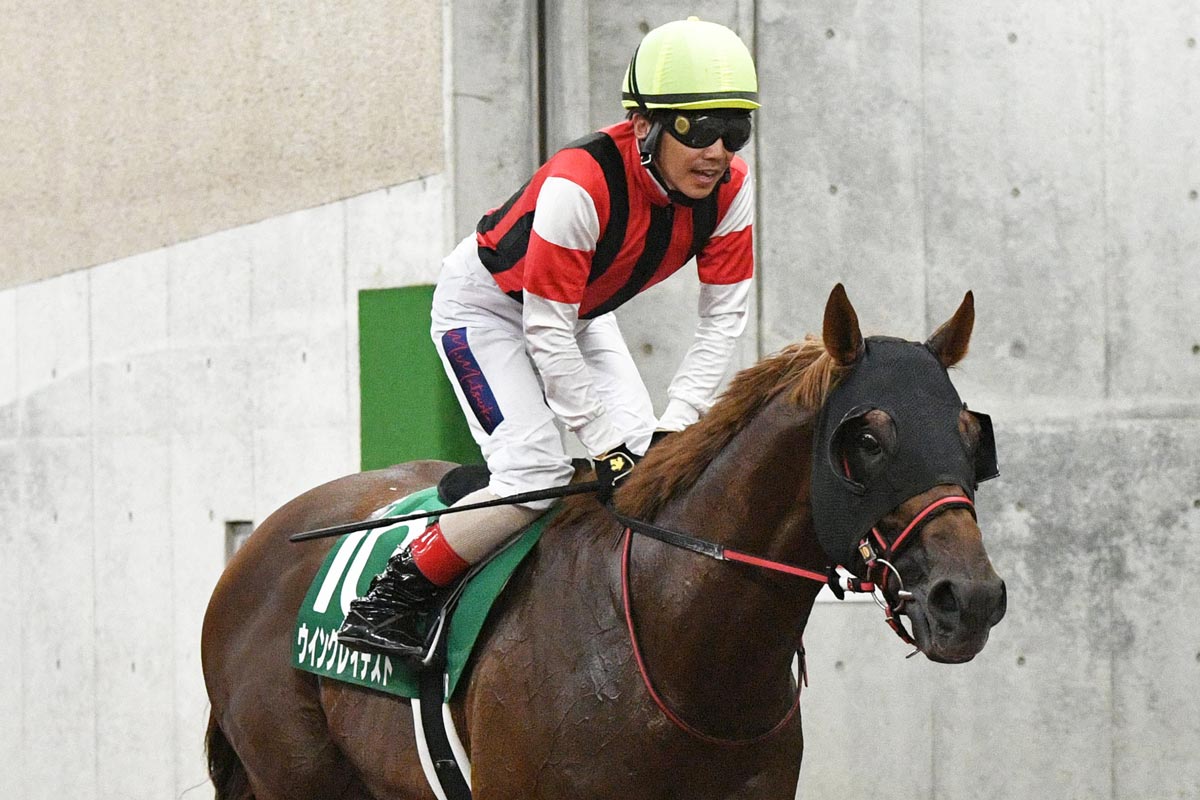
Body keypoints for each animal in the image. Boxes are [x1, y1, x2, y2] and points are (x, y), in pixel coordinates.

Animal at [201, 284, 1007, 799]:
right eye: (867, 440)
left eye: (972, 436)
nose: (969, 599)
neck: (678, 647)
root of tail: (257, 545)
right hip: (295, 775)